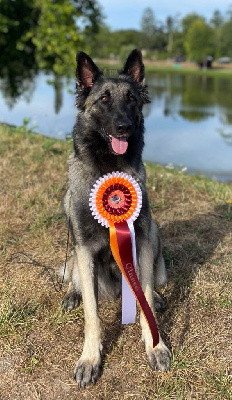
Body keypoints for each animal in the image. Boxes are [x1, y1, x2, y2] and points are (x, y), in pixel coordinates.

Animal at [61, 50, 172, 388]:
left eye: (131, 99)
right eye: (104, 99)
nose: (123, 127)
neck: (109, 167)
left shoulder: (143, 239)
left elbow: (145, 294)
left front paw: (155, 345)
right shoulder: (84, 249)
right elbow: (92, 314)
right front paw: (90, 358)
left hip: (155, 233)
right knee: (76, 279)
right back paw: (72, 294)